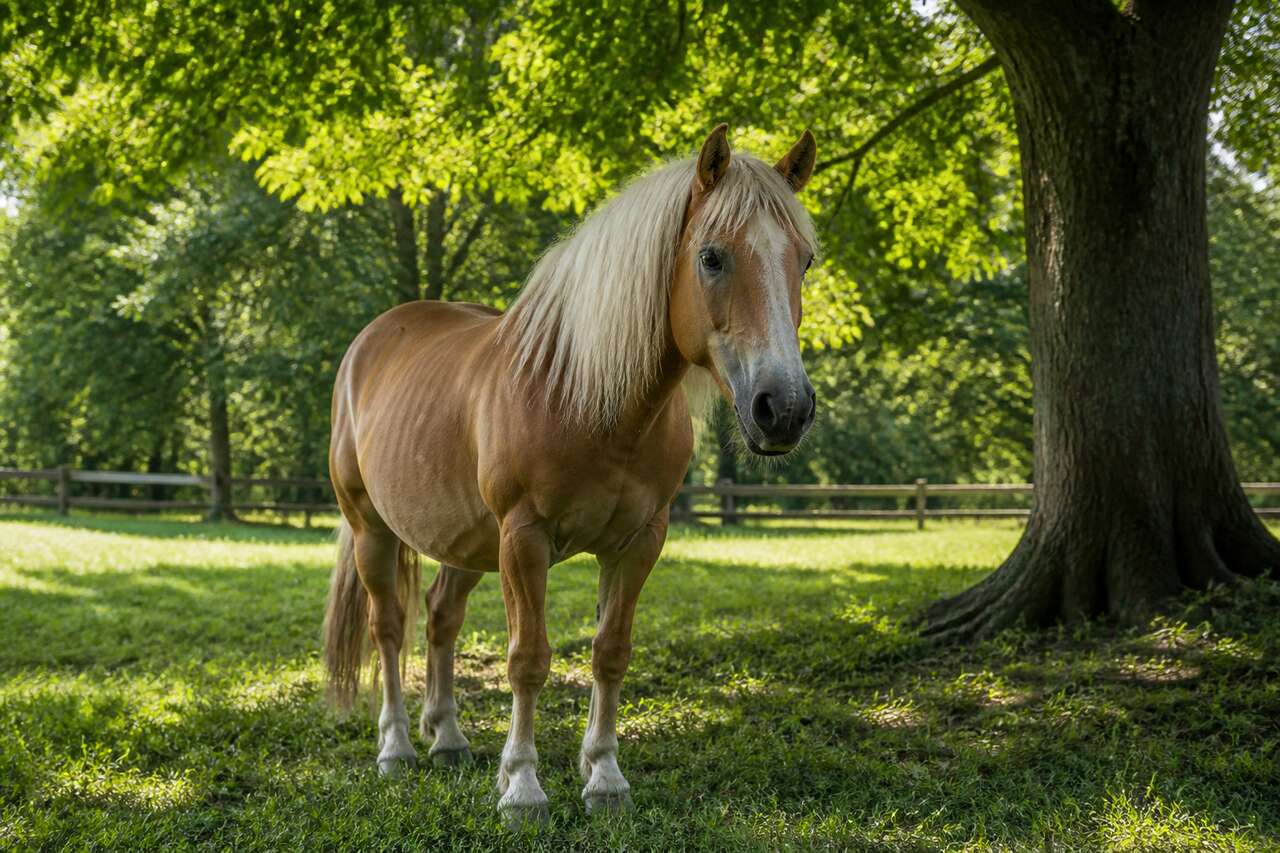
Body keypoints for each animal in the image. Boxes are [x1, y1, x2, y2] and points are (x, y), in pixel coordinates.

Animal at [323, 123, 819, 826]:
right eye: (712, 257)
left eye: (803, 261)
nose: (785, 408)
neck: (588, 397)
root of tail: (370, 341)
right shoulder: (524, 539)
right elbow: (528, 659)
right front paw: (524, 788)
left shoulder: (639, 542)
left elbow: (611, 651)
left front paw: (604, 777)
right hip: (372, 529)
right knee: (388, 626)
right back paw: (396, 748)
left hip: (463, 539)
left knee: (441, 617)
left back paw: (447, 738)